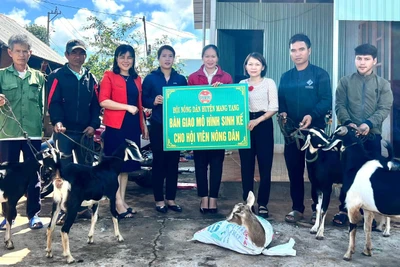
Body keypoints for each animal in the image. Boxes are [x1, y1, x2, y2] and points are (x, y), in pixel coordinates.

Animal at [324, 127, 398, 262]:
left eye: (335, 134)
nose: (325, 143)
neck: (357, 166)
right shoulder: (368, 208)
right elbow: (366, 228)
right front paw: (367, 251)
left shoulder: (352, 204)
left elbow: (352, 228)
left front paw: (348, 254)